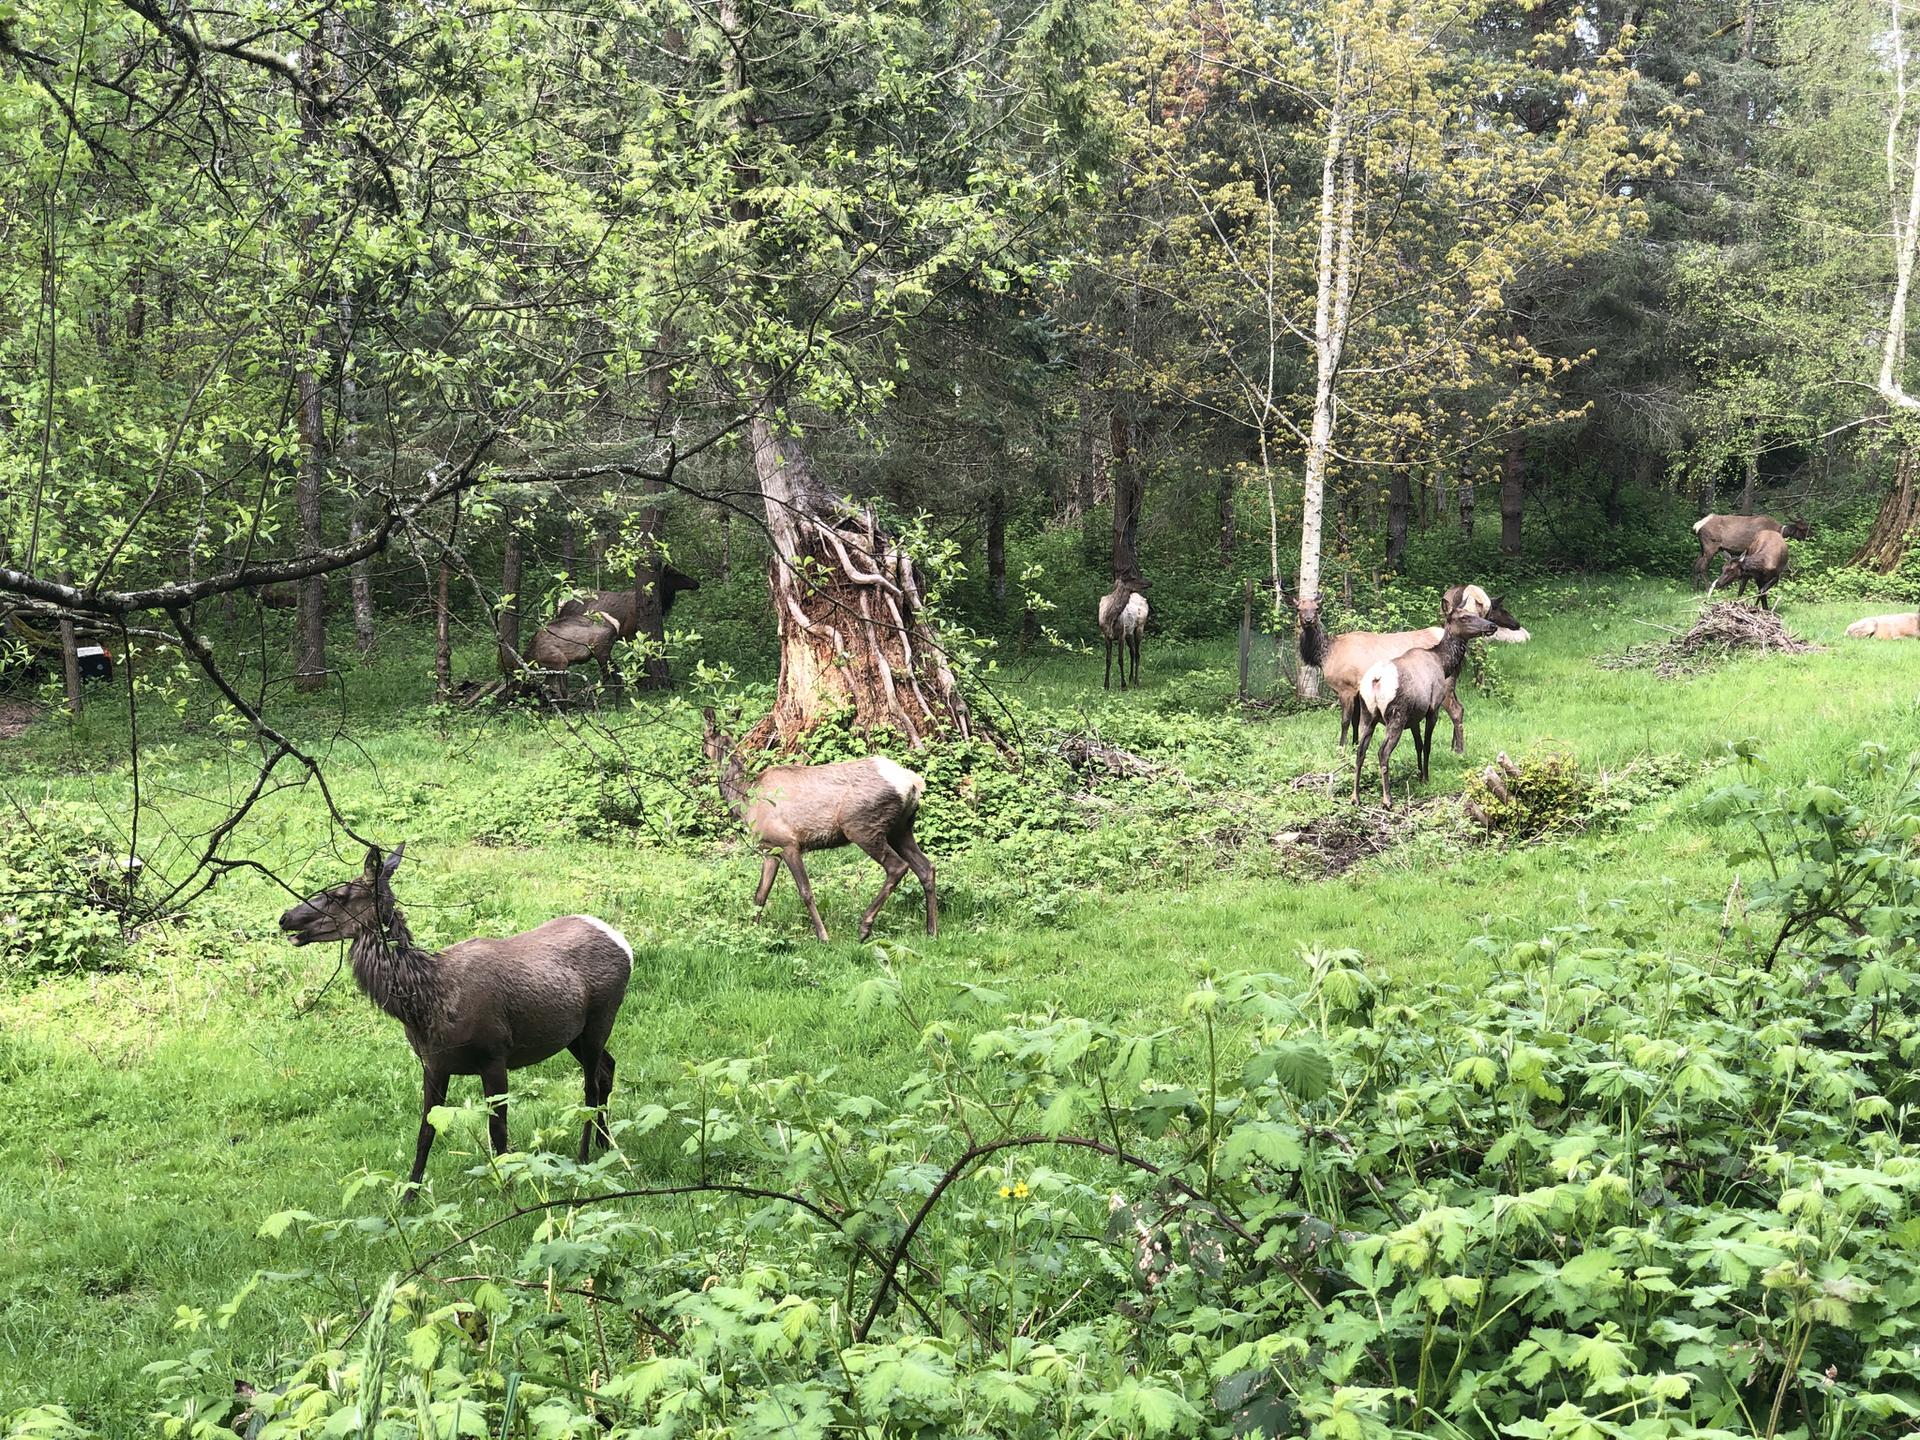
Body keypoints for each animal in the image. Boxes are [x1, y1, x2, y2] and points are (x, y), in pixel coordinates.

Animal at [278, 845, 632, 1190]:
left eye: (338, 894)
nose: (285, 918)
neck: (426, 1003)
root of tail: (625, 945)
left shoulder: (494, 1055)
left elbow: (499, 1133)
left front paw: (508, 1188)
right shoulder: (433, 1063)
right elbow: (425, 1132)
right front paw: (410, 1196)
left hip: (601, 1017)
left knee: (589, 1089)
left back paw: (584, 1156)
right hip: (573, 1034)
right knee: (607, 1068)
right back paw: (605, 1144)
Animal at [701, 709, 936, 943]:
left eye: (704, 739)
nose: (703, 757)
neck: (745, 800)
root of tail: (914, 783)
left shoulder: (789, 843)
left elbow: (805, 892)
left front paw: (823, 935)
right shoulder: (770, 849)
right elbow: (760, 894)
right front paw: (752, 931)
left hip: (862, 826)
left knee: (898, 866)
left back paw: (865, 926)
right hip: (901, 828)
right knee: (926, 867)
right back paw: (931, 930)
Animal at [1352, 611, 1500, 807]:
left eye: (1474, 614)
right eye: (1464, 617)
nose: (1492, 625)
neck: (1443, 664)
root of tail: (1376, 680)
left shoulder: (1414, 718)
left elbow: (1419, 745)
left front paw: (1419, 773)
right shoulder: (1432, 708)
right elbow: (1428, 745)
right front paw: (1426, 777)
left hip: (1368, 715)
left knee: (1360, 750)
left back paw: (1355, 797)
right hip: (1396, 716)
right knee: (1382, 752)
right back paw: (1387, 799)